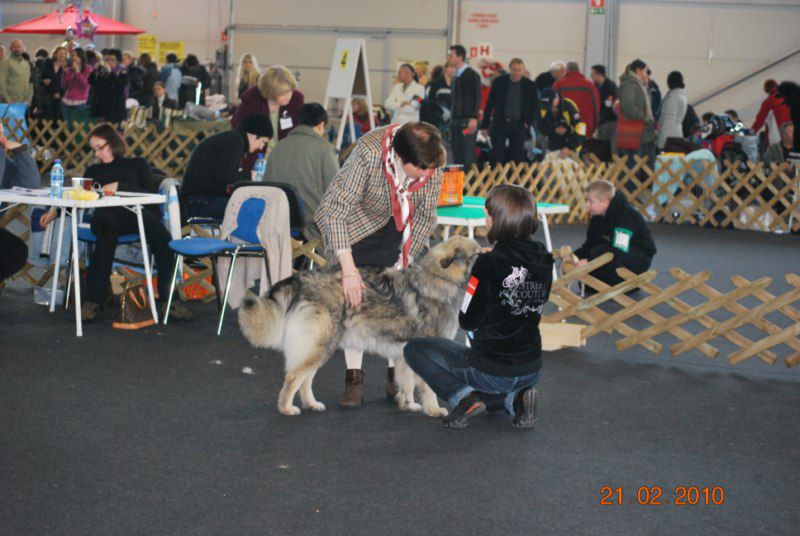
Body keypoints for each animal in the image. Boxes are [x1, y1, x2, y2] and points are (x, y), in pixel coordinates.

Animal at [234, 239, 478, 418]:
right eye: (476, 254)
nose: (486, 251)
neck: (439, 278)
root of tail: (303, 278)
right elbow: (427, 386)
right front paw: (434, 409)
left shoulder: (405, 353)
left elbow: (406, 381)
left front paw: (408, 404)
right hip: (321, 343)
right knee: (294, 376)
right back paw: (286, 408)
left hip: (322, 345)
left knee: (306, 379)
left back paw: (311, 404)